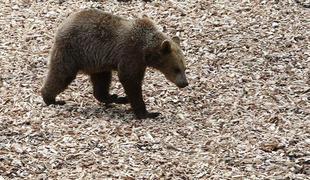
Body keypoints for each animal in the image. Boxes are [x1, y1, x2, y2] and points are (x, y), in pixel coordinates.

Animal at [40, 9, 188, 119]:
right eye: (176, 69)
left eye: (184, 68)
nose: (184, 83)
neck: (147, 51)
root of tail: (62, 25)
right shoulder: (131, 54)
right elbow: (130, 80)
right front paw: (148, 112)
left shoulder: (139, 61)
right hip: (74, 51)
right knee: (62, 74)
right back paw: (51, 99)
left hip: (96, 62)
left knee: (101, 81)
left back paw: (115, 97)